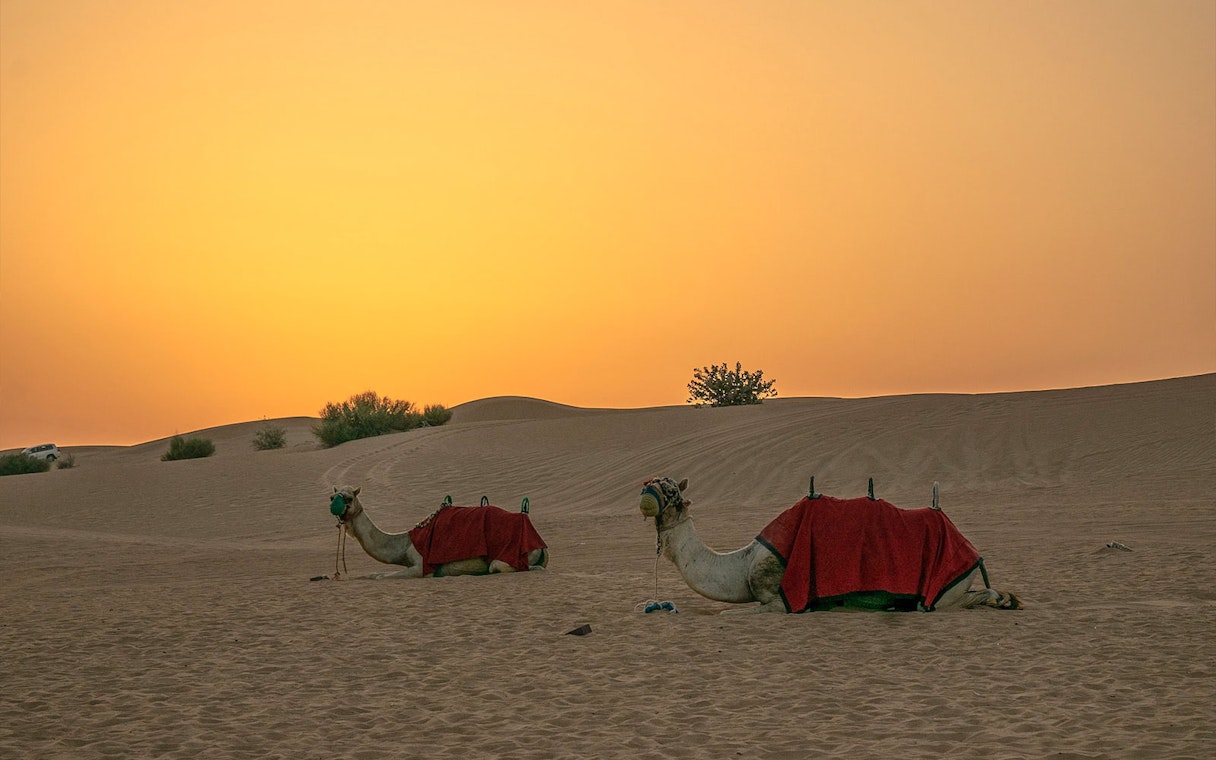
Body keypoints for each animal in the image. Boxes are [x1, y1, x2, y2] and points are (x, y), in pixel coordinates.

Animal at [330, 486, 548, 579]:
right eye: (332, 496)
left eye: (348, 498)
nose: (333, 506)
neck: (405, 543)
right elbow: (375, 574)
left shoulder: (422, 566)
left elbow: (381, 577)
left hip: (511, 556)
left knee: (505, 567)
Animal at [638, 477, 1020, 613]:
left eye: (669, 488)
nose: (644, 493)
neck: (742, 563)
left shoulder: (776, 597)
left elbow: (731, 612)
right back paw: (1007, 599)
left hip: (945, 589)